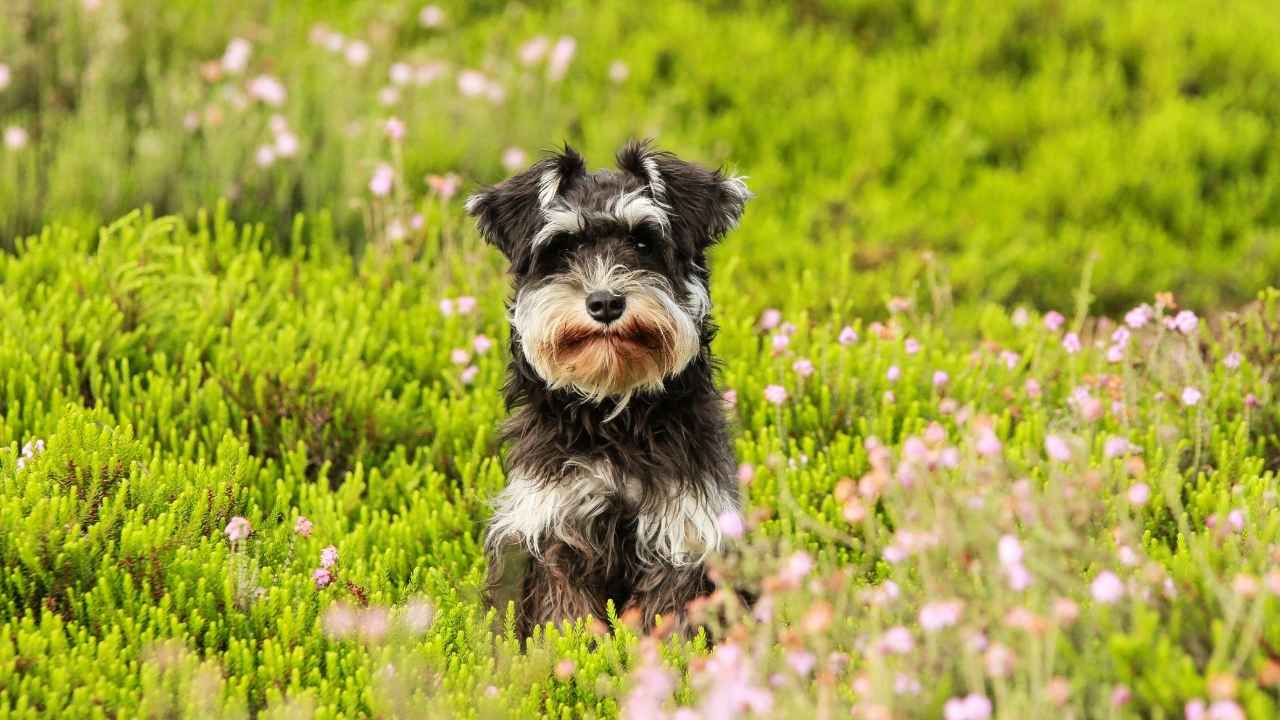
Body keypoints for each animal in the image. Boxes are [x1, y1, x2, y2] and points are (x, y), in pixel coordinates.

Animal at [468, 140, 747, 632]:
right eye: (562, 246)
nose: (604, 302)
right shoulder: (555, 530)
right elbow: (567, 619)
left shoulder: (682, 534)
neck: (615, 413)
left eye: (643, 241)